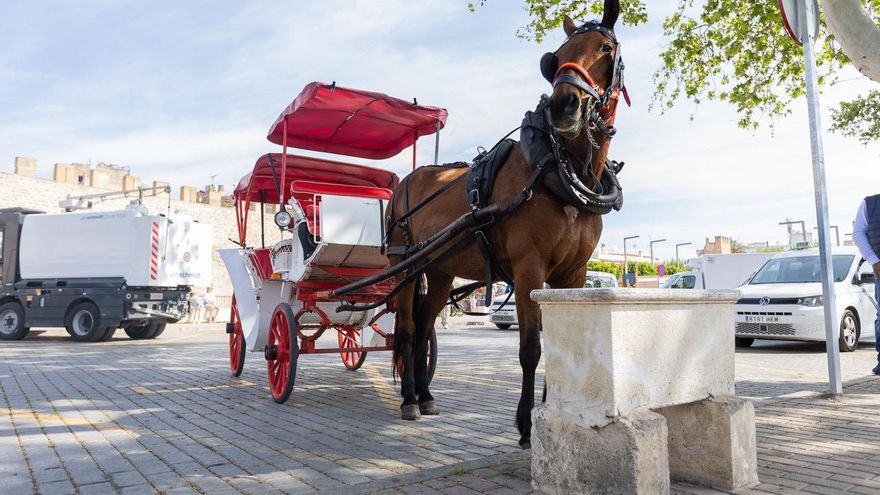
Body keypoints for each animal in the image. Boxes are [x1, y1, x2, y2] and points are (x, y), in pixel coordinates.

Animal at [385, 0, 625, 448]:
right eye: (555, 57)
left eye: (605, 48)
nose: (564, 106)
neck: (559, 171)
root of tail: (403, 182)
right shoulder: (530, 268)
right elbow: (530, 348)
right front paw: (528, 424)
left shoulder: (573, 273)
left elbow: (559, 342)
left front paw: (551, 413)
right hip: (405, 267)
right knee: (407, 330)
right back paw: (409, 399)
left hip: (440, 271)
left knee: (425, 327)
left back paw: (425, 396)